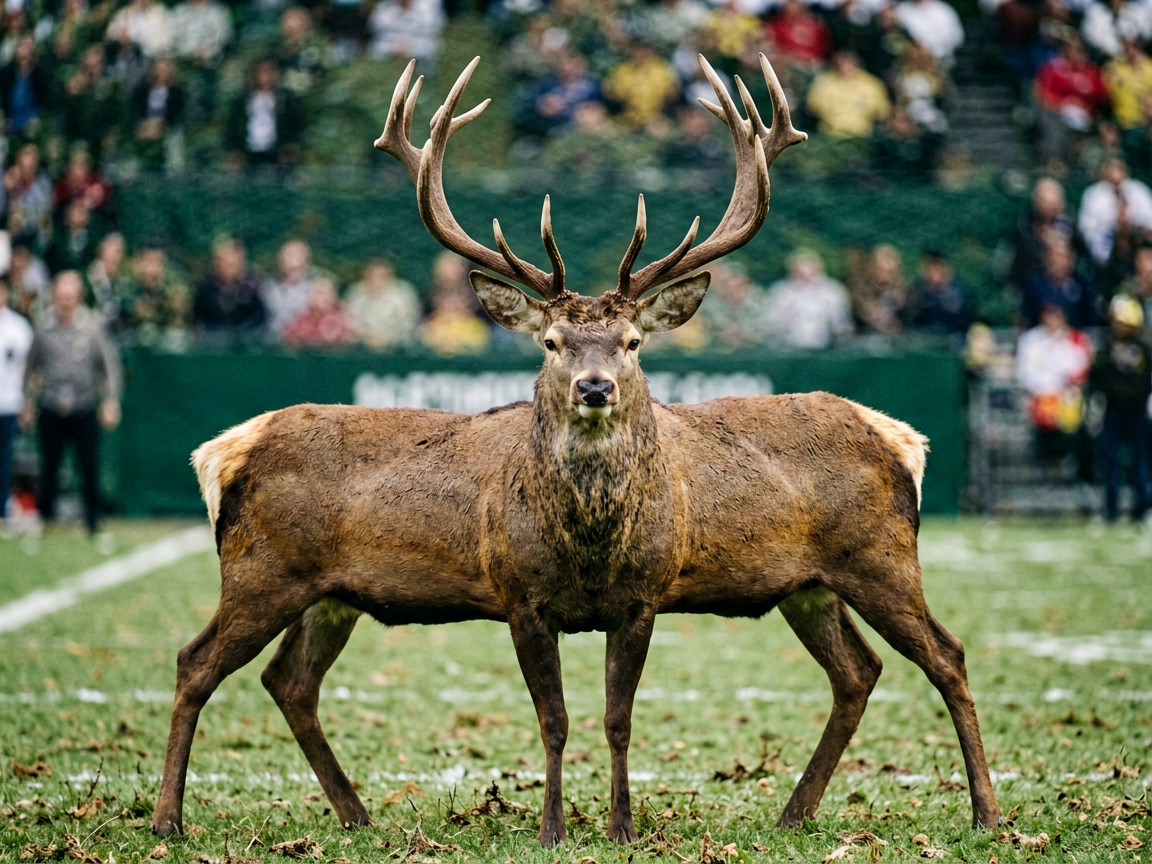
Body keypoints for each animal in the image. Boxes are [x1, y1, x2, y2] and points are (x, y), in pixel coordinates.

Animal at [150, 54, 1000, 847]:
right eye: (553, 341)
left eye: (630, 342)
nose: (595, 387)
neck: (589, 544)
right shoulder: (520, 593)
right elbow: (555, 721)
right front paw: (555, 828)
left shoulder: (645, 592)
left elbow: (616, 719)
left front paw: (619, 827)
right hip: (276, 571)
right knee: (215, 665)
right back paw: (186, 819)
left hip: (863, 559)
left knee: (927, 658)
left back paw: (961, 812)